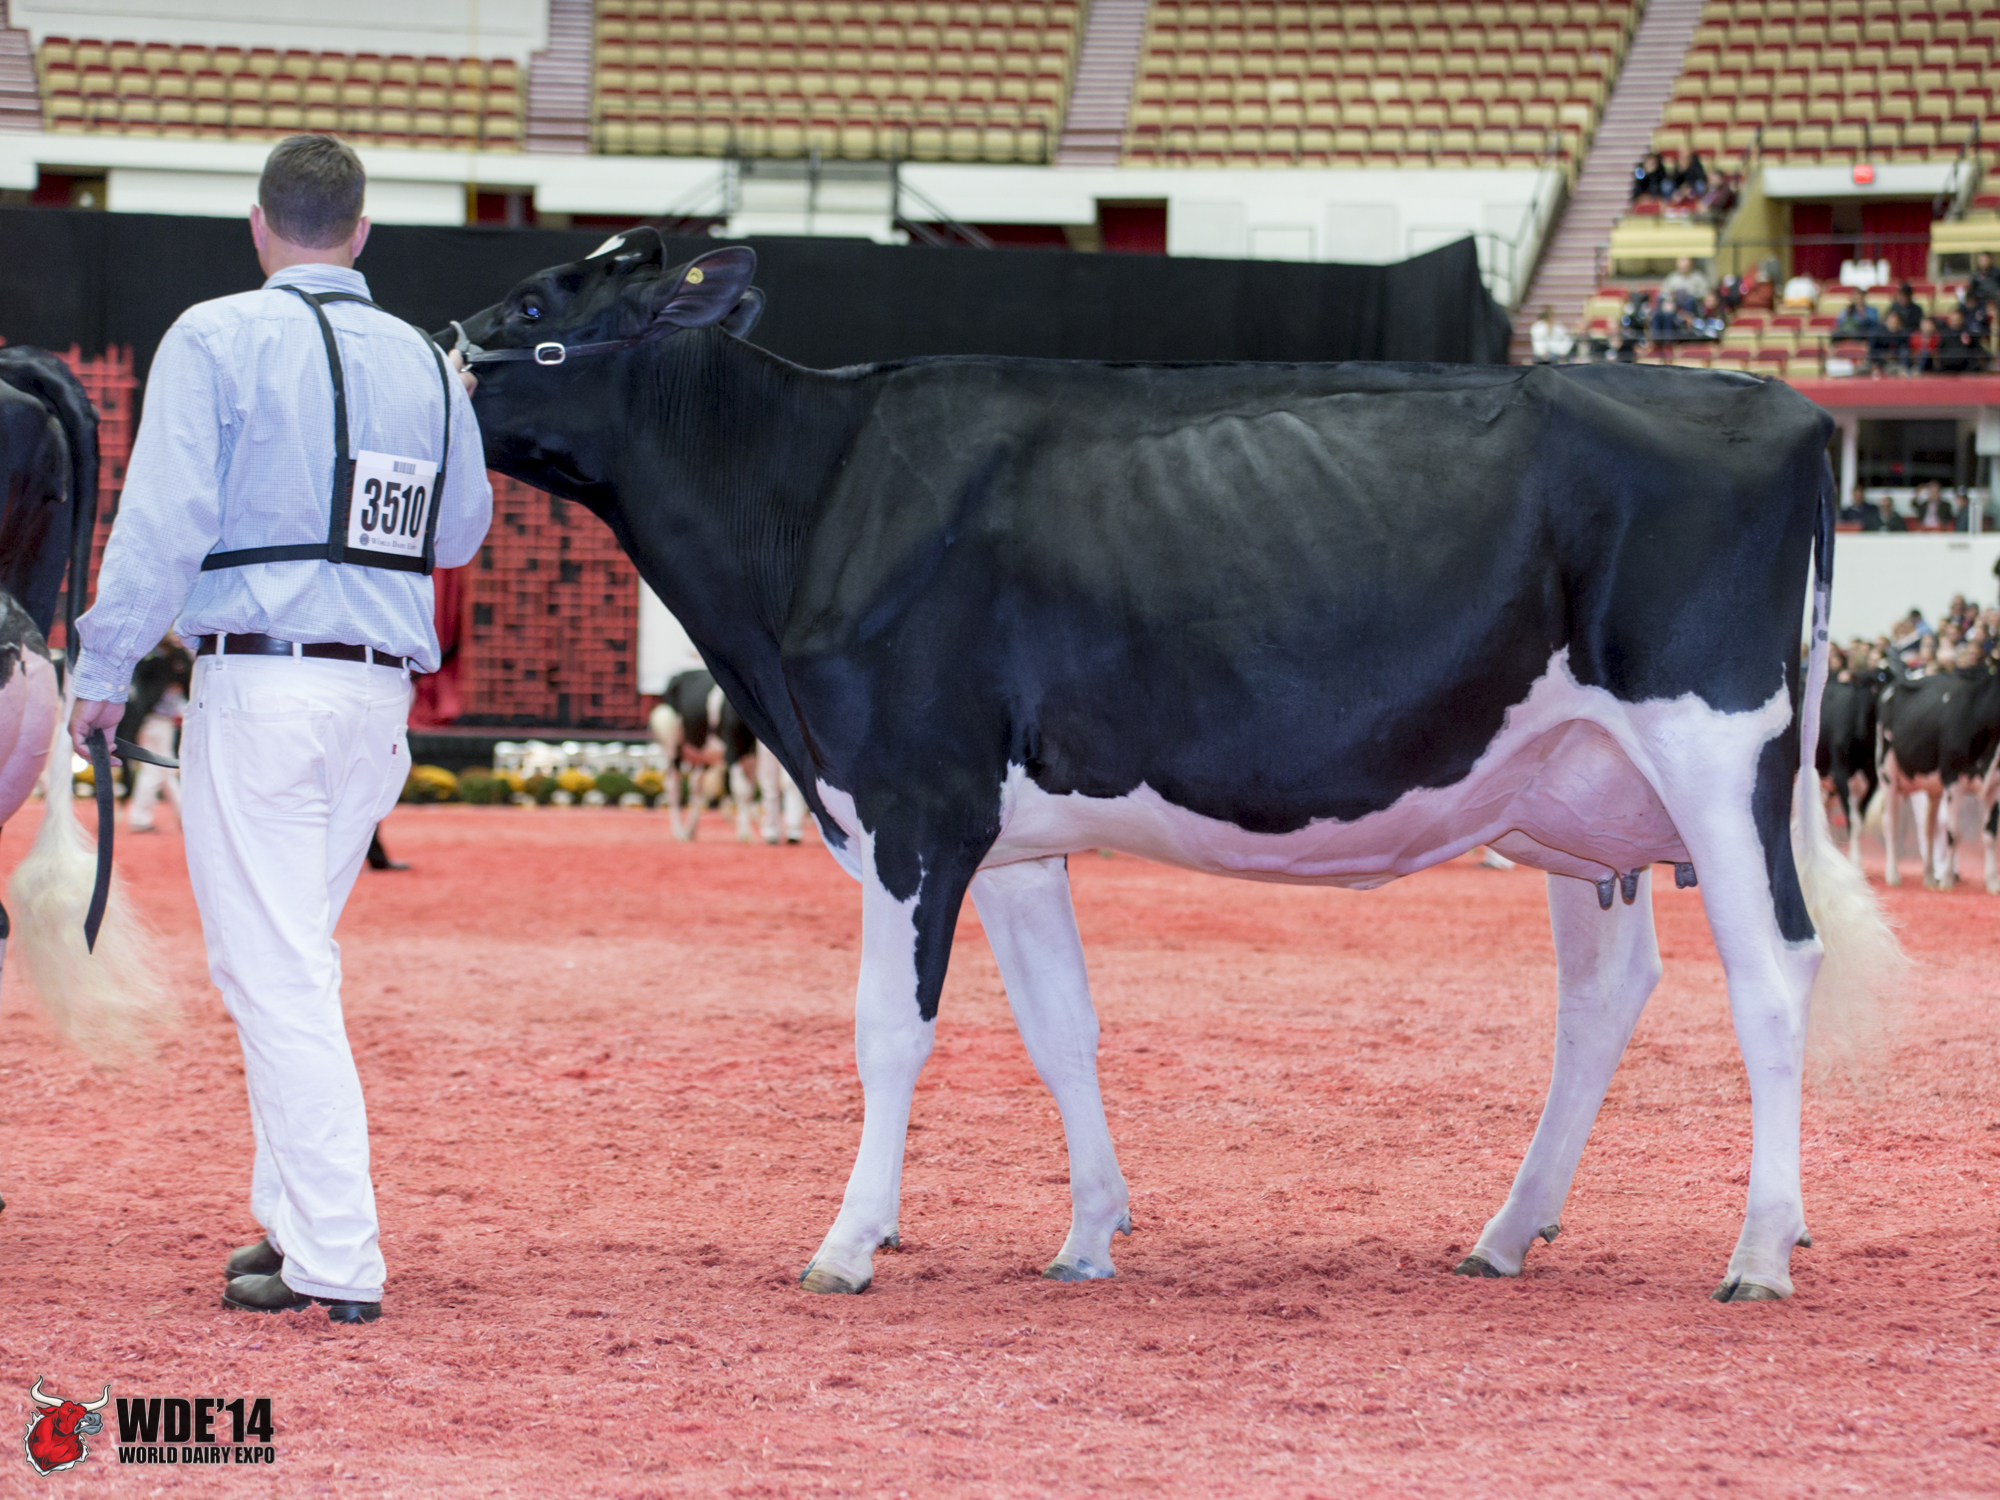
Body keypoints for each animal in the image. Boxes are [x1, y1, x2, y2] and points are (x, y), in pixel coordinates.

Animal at [447, 232, 1897, 1305]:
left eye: (532, 301)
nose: (437, 347)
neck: (814, 498)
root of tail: (1783, 405)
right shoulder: (1007, 837)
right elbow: (1060, 1025)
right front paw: (1089, 1232)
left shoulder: (913, 802)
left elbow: (888, 1029)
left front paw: (848, 1244)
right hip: (1578, 793)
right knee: (1602, 997)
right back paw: (1504, 1232)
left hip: (1716, 748)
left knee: (1775, 971)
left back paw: (1758, 1250)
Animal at [1876, 663, 2000, 891]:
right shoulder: (1952, 780)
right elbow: (1954, 832)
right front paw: (1948, 880)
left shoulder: (1995, 786)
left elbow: (1989, 834)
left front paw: (1992, 883)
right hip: (1887, 773)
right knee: (1890, 823)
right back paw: (1893, 875)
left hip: (1932, 788)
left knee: (1928, 829)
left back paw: (1929, 877)